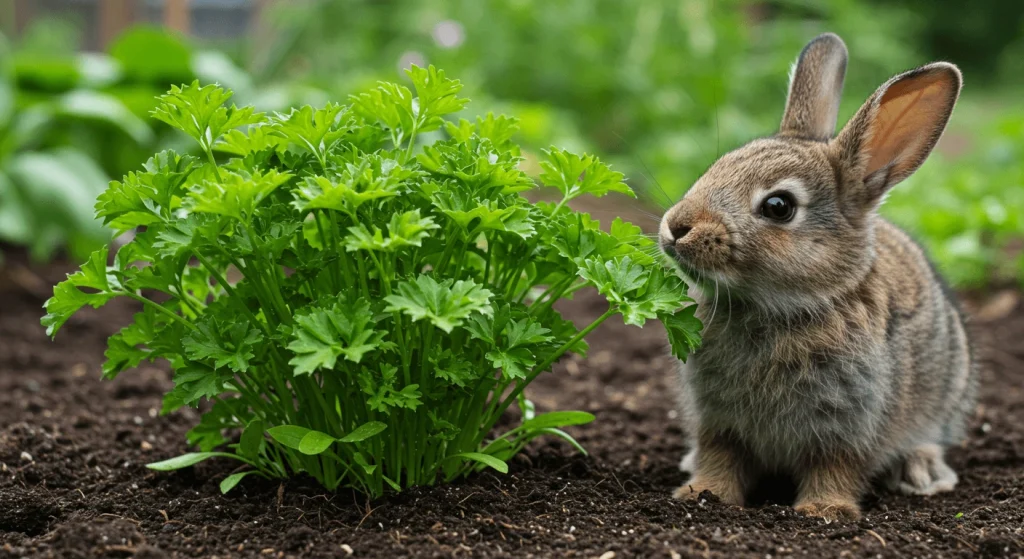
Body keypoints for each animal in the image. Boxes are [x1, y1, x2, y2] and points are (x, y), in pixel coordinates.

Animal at [659, 33, 978, 522]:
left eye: (779, 206)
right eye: (717, 166)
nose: (676, 227)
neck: (774, 307)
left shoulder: (851, 422)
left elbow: (836, 466)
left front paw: (823, 511)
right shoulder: (716, 419)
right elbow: (719, 456)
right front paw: (702, 494)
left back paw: (921, 472)